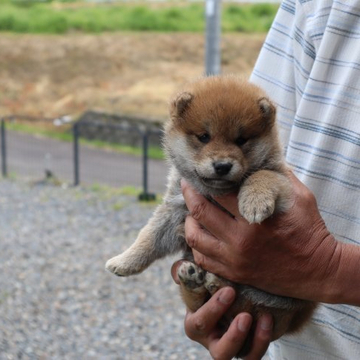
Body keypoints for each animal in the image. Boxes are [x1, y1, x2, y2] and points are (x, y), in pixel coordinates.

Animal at [105, 76, 316, 358]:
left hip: (282, 297)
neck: (216, 193)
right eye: (204, 137)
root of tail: (294, 321)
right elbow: (148, 236)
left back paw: (215, 281)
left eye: (241, 139)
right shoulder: (176, 209)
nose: (222, 166)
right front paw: (124, 261)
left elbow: (262, 176)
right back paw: (196, 282)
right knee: (205, 302)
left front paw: (254, 201)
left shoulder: (284, 184)